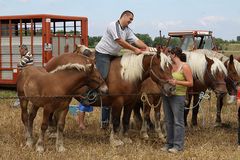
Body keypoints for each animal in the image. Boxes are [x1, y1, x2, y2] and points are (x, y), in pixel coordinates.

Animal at [44, 49, 174, 146]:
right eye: (162, 68)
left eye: (171, 67)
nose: (171, 87)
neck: (126, 75)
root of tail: (50, 62)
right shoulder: (118, 102)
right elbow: (116, 121)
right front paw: (115, 140)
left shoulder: (130, 103)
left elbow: (125, 120)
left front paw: (126, 138)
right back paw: (51, 132)